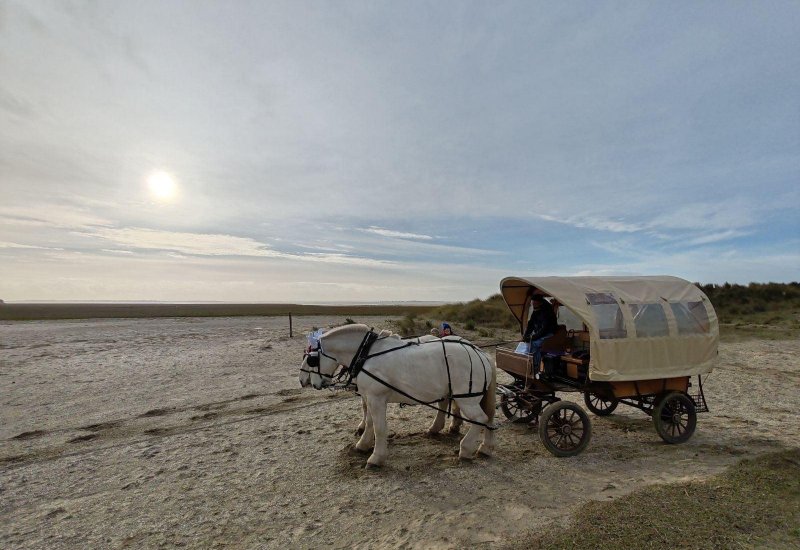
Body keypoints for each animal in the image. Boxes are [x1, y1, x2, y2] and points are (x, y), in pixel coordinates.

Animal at [298, 326, 494, 468]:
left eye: (311, 359)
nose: (303, 381)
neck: (366, 354)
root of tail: (482, 354)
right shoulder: (371, 397)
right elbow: (370, 422)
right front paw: (363, 444)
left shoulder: (376, 398)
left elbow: (379, 428)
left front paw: (376, 457)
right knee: (486, 417)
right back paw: (483, 447)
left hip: (467, 398)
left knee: (480, 419)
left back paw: (466, 448)